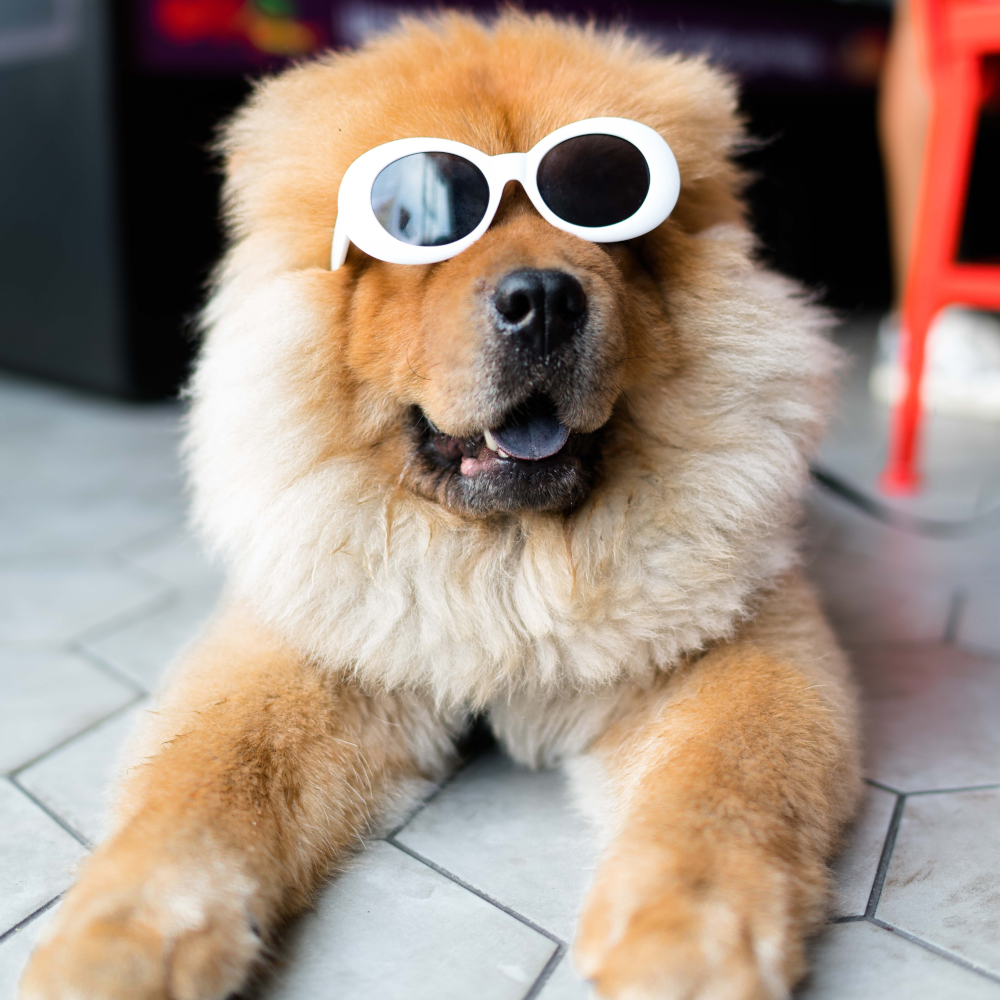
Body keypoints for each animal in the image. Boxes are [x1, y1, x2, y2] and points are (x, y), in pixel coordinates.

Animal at [19, 9, 864, 1000]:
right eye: (420, 221)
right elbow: (206, 780)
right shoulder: (305, 645)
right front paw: (118, 944)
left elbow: (723, 788)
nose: (543, 298)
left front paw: (684, 941)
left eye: (604, 203)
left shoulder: (745, 651)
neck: (503, 557)